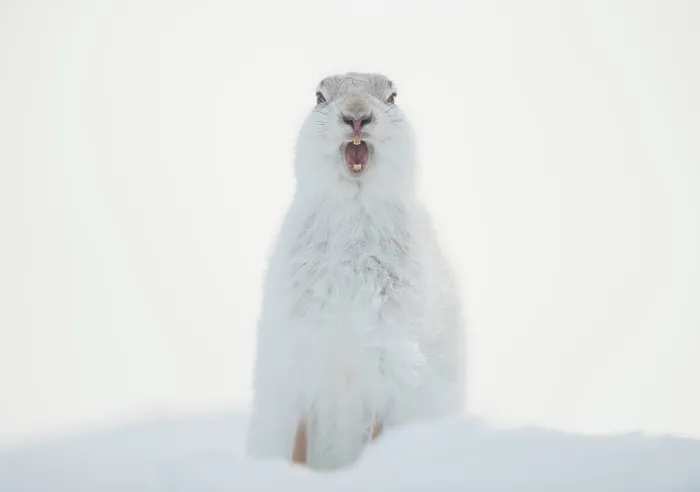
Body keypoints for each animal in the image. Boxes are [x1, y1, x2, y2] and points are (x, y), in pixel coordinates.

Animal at [245, 72, 465, 470]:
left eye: (392, 97)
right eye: (320, 97)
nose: (357, 116)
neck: (355, 203)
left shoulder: (388, 355)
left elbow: (376, 427)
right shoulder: (305, 357)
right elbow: (300, 435)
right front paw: (296, 471)